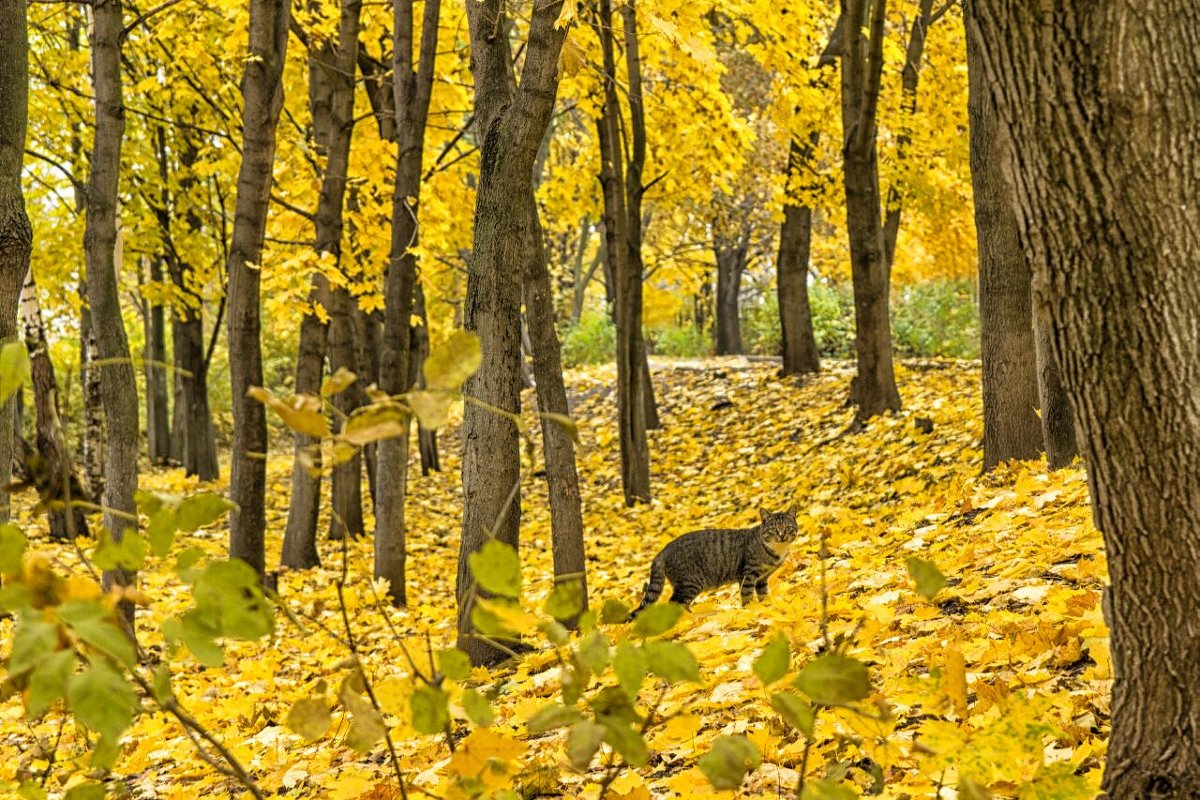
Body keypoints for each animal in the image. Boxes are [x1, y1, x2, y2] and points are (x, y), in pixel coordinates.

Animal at [633, 506, 801, 618]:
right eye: (773, 529)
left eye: (787, 527)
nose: (781, 535)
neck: (777, 550)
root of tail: (663, 551)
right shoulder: (748, 574)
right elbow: (747, 595)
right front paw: (749, 609)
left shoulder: (762, 578)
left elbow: (763, 595)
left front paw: (766, 606)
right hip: (690, 583)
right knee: (675, 603)